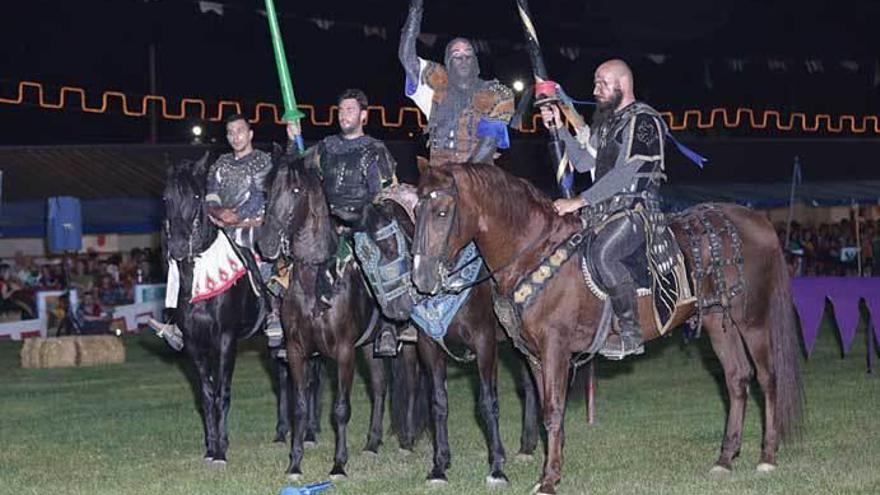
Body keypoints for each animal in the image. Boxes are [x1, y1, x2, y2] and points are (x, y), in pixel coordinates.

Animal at [164, 157, 300, 466]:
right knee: (283, 377)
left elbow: (222, 392)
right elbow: (206, 395)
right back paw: (281, 433)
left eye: (196, 197)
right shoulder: (195, 344)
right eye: (166, 198)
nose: (177, 247)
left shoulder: (225, 340)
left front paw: (221, 451)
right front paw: (210, 447)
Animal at [254, 154, 426, 480]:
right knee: (380, 388)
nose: (267, 242)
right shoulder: (297, 352)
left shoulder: (344, 352)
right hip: (369, 348)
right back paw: (372, 443)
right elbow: (299, 407)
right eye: (268, 190)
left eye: (296, 190)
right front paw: (295, 464)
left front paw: (338, 465)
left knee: (410, 383)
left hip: (408, 345)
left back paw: (408, 441)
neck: (317, 279)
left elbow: (341, 408)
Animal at [360, 192, 540, 486]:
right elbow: (439, 403)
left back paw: (527, 447)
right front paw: (440, 466)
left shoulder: (484, 343)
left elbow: (488, 403)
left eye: (388, 243)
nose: (395, 309)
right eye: (360, 254)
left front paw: (497, 467)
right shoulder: (429, 347)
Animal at [412, 165, 804, 494]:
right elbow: (547, 412)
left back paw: (767, 457)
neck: (535, 253)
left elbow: (553, 409)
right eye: (416, 212)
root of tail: (758, 222)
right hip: (717, 321)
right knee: (736, 379)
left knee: (767, 379)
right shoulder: (535, 355)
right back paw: (724, 459)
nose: (421, 279)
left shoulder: (555, 349)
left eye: (442, 212)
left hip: (751, 320)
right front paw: (551, 468)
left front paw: (548, 479)